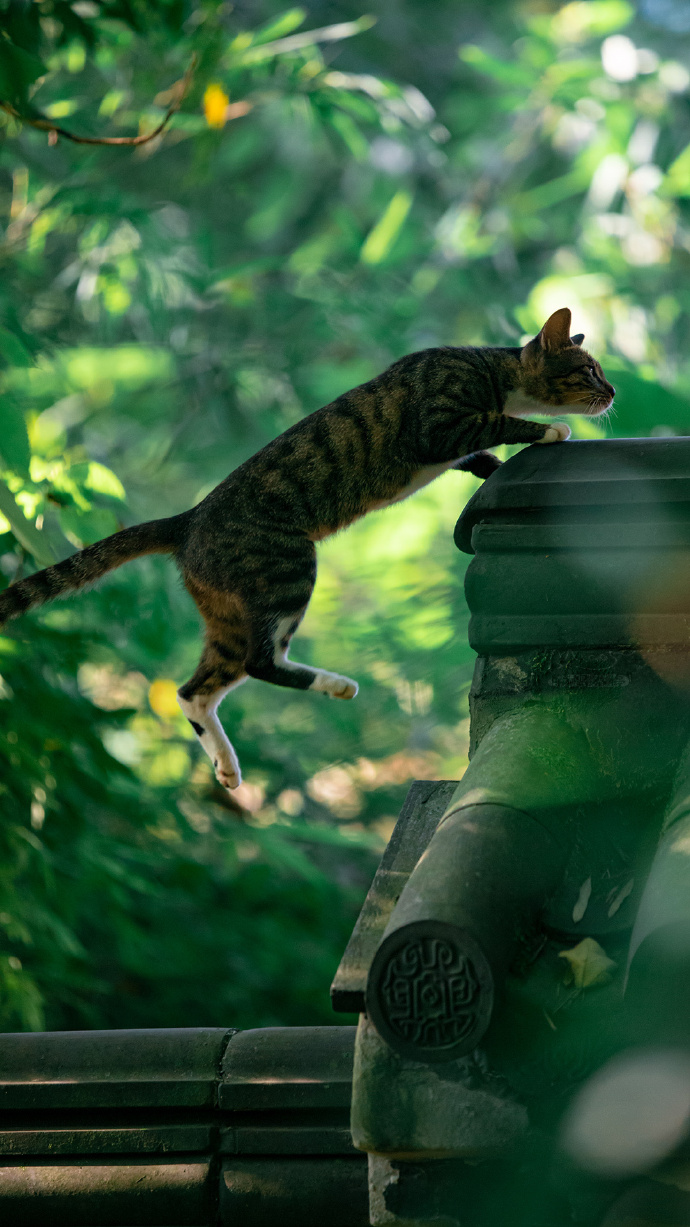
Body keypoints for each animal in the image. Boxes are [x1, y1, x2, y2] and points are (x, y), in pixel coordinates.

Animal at [0, 305, 611, 785]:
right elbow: (495, 423)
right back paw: (338, 686)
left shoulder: (454, 446)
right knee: (261, 660)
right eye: (588, 370)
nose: (610, 393)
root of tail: (187, 521)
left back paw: (228, 764)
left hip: (226, 609)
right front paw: (550, 431)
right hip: (288, 567)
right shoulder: (439, 424)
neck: (491, 367)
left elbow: (481, 456)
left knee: (195, 688)